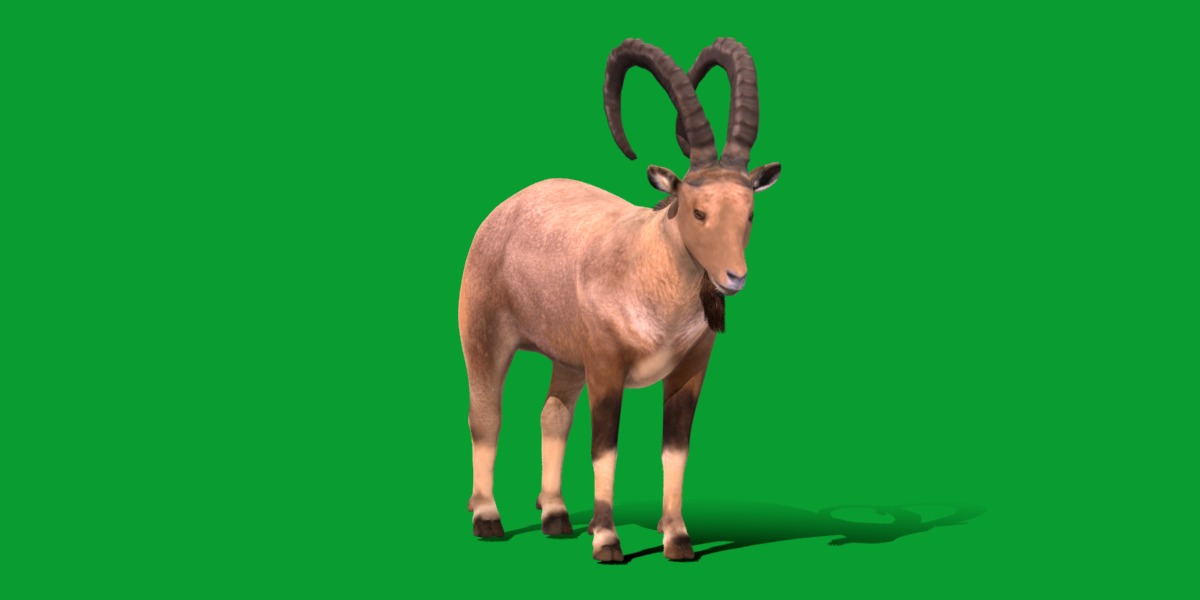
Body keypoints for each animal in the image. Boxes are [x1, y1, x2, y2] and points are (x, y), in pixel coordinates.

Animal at [459, 38, 781, 562]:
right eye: (698, 210)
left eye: (750, 211)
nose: (734, 278)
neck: (646, 271)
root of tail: (501, 213)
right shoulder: (607, 368)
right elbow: (605, 447)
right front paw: (608, 541)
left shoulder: (690, 369)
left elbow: (675, 450)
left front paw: (678, 539)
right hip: (485, 337)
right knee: (486, 414)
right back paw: (487, 517)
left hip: (568, 360)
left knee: (553, 414)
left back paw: (556, 516)